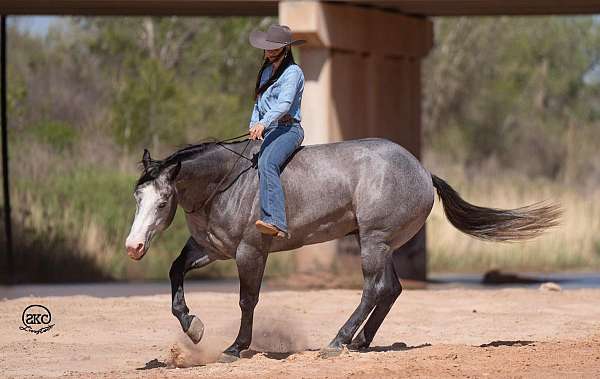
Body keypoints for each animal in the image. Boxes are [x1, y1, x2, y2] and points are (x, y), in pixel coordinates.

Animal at [124, 137, 560, 362]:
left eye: (163, 202)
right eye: (138, 198)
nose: (133, 246)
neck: (226, 184)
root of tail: (422, 171)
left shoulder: (250, 252)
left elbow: (248, 300)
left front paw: (236, 347)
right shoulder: (211, 248)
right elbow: (175, 270)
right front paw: (193, 327)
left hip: (374, 241)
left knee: (374, 289)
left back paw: (338, 342)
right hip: (378, 244)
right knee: (390, 289)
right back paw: (360, 341)